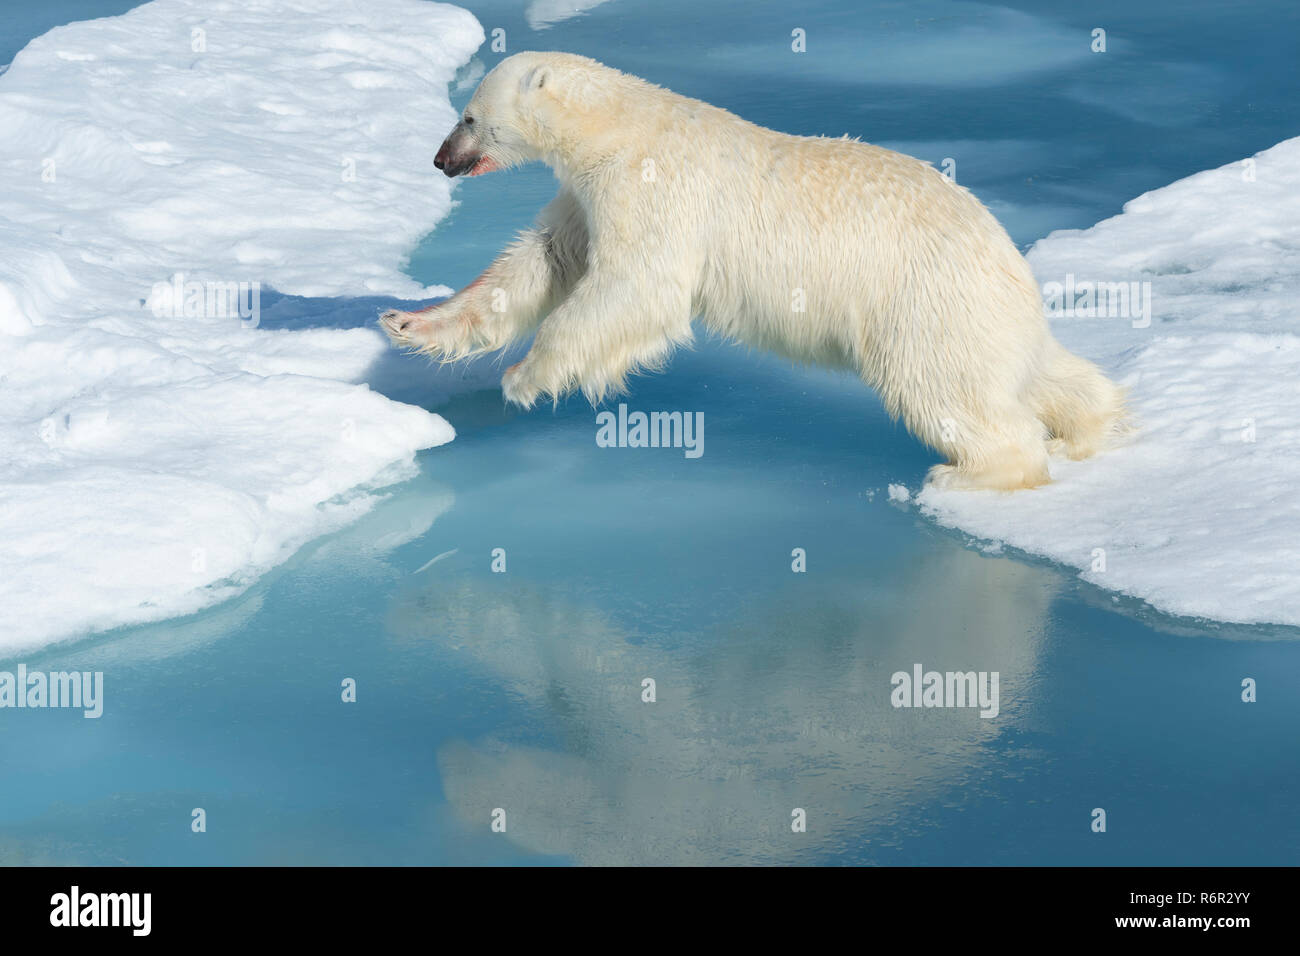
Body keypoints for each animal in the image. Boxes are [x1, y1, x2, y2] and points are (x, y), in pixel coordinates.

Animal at [379, 50, 1128, 494]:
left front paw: (524, 376)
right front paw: (409, 323)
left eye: (469, 115)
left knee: (945, 389)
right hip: (987, 316)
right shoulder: (587, 195)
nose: (441, 160)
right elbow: (544, 262)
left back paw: (967, 475)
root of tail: (1008, 258)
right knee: (1037, 372)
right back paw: (1095, 424)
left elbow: (637, 286)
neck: (619, 127)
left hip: (923, 301)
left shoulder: (650, 187)